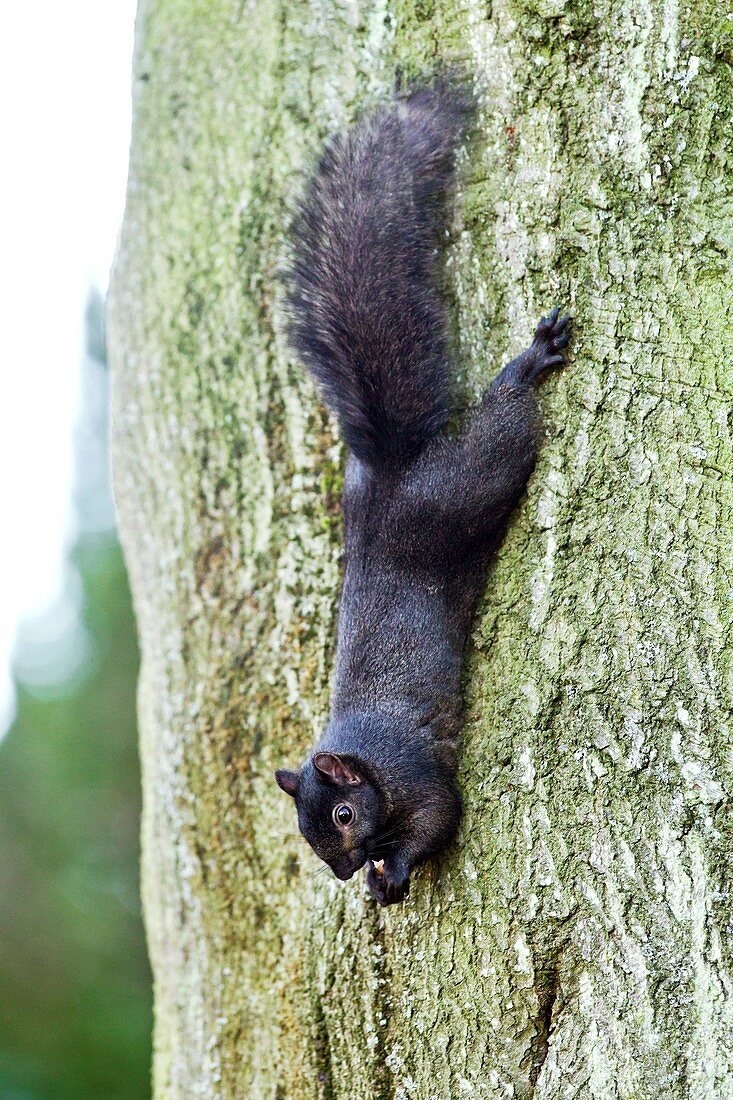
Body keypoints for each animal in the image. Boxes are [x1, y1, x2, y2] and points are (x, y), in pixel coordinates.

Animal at [274, 79, 572, 902]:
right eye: (311, 837)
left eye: (343, 816)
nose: (345, 871)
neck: (361, 756)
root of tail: (391, 472)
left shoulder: (414, 775)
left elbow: (441, 815)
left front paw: (396, 871)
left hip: (468, 482)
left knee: (504, 429)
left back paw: (527, 365)